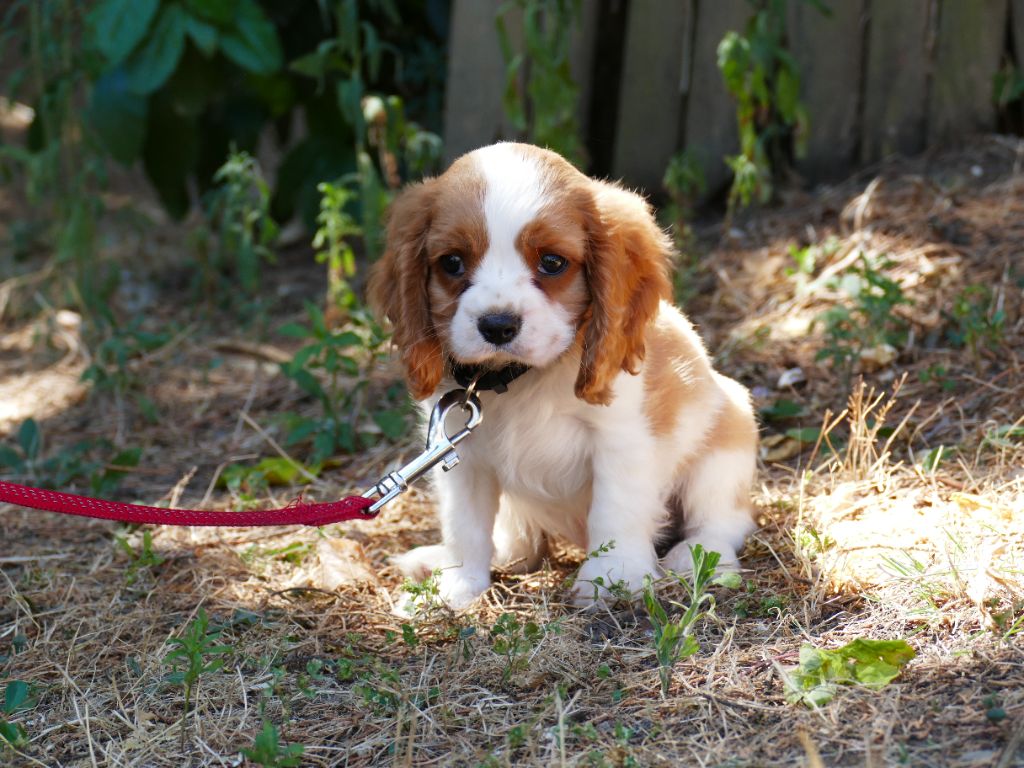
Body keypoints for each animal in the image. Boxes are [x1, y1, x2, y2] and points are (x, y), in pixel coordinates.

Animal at [370, 143, 761, 606]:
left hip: (726, 445)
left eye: (553, 262)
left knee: (721, 521)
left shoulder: (621, 441)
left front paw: (612, 577)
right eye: (451, 263)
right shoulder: (461, 454)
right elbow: (465, 524)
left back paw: (696, 556)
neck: (518, 379)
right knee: (518, 542)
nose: (497, 325)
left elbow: (615, 510)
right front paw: (458, 585)